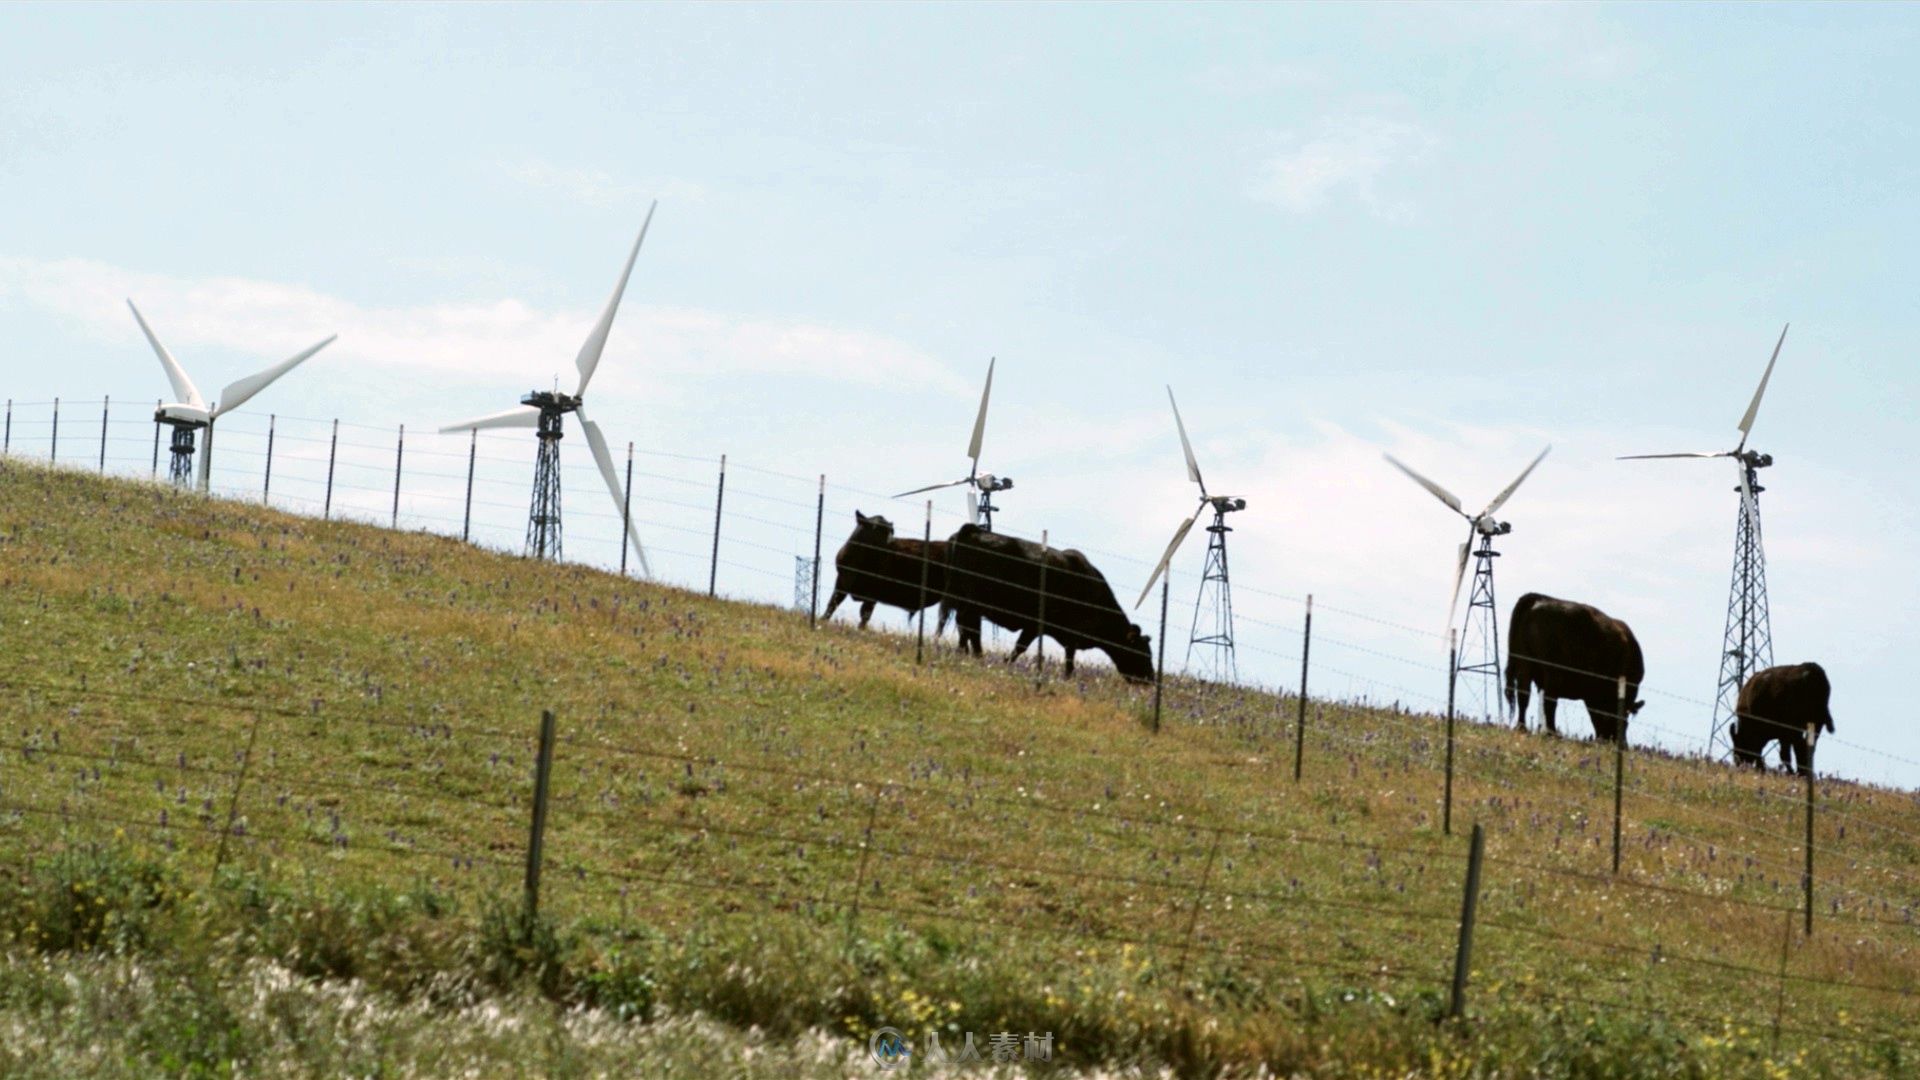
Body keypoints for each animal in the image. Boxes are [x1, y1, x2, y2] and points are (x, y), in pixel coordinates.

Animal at [936, 522, 1144, 680]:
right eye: (1143, 651)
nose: (1148, 679)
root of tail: (971, 529)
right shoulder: (1038, 626)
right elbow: (1023, 648)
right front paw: (1006, 663)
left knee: (963, 625)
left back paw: (965, 652)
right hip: (973, 601)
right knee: (970, 626)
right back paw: (976, 655)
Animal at [1497, 588, 1651, 737]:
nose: (1617, 740)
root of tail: (1539, 598)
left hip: (1525, 663)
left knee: (1524, 694)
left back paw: (1522, 727)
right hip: (1552, 672)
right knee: (1549, 702)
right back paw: (1552, 732)